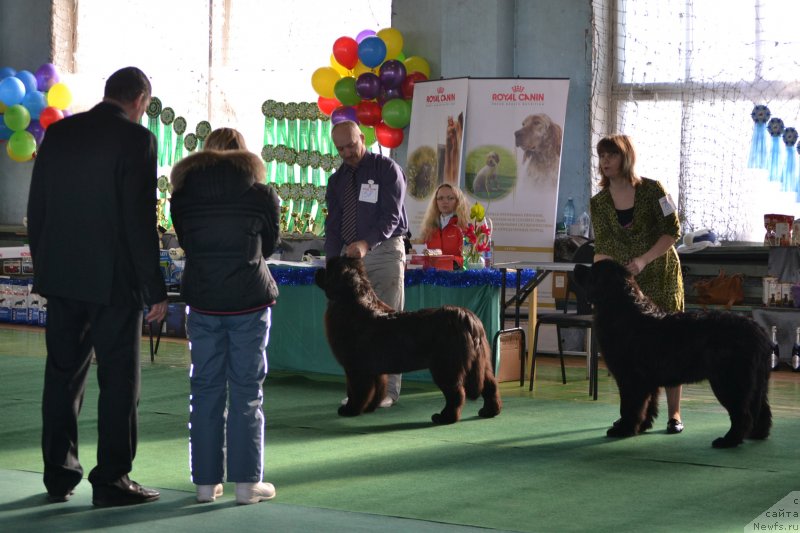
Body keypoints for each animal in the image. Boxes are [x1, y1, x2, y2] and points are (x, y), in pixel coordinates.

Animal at [314, 256, 496, 426]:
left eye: (329, 267)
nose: (317, 270)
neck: (351, 302)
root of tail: (466, 317)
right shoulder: (375, 369)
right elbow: (376, 389)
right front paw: (369, 407)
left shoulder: (356, 367)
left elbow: (356, 391)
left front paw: (350, 410)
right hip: (480, 363)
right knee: (490, 385)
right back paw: (489, 411)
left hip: (446, 367)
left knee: (456, 393)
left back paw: (445, 418)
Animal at [580, 260, 772, 446]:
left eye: (592, 272)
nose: (577, 268)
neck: (621, 309)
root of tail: (758, 330)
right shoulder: (648, 382)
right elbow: (648, 406)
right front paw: (641, 426)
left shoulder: (631, 379)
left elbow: (629, 407)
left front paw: (623, 429)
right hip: (756, 383)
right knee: (762, 409)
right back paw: (757, 434)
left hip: (729, 381)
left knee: (743, 413)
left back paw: (728, 441)